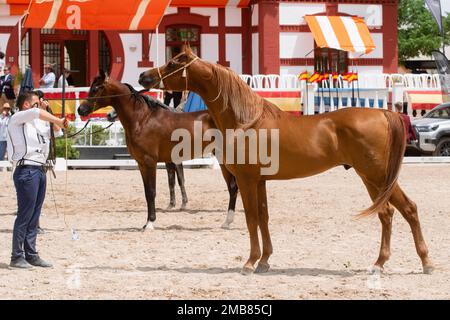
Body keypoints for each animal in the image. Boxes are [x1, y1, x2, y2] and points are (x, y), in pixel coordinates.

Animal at [77, 70, 239, 230]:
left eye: (95, 89)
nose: (80, 109)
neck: (142, 119)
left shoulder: (150, 162)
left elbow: (152, 191)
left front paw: (150, 223)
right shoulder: (142, 164)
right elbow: (148, 192)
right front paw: (146, 223)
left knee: (233, 186)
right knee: (233, 187)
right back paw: (227, 222)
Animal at [139, 48, 434, 274]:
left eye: (174, 63)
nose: (144, 76)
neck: (246, 121)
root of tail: (384, 113)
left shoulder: (246, 180)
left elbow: (251, 219)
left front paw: (249, 263)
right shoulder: (260, 181)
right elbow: (264, 217)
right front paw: (264, 261)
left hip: (376, 176)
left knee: (407, 209)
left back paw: (423, 263)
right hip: (372, 179)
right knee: (390, 213)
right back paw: (383, 263)